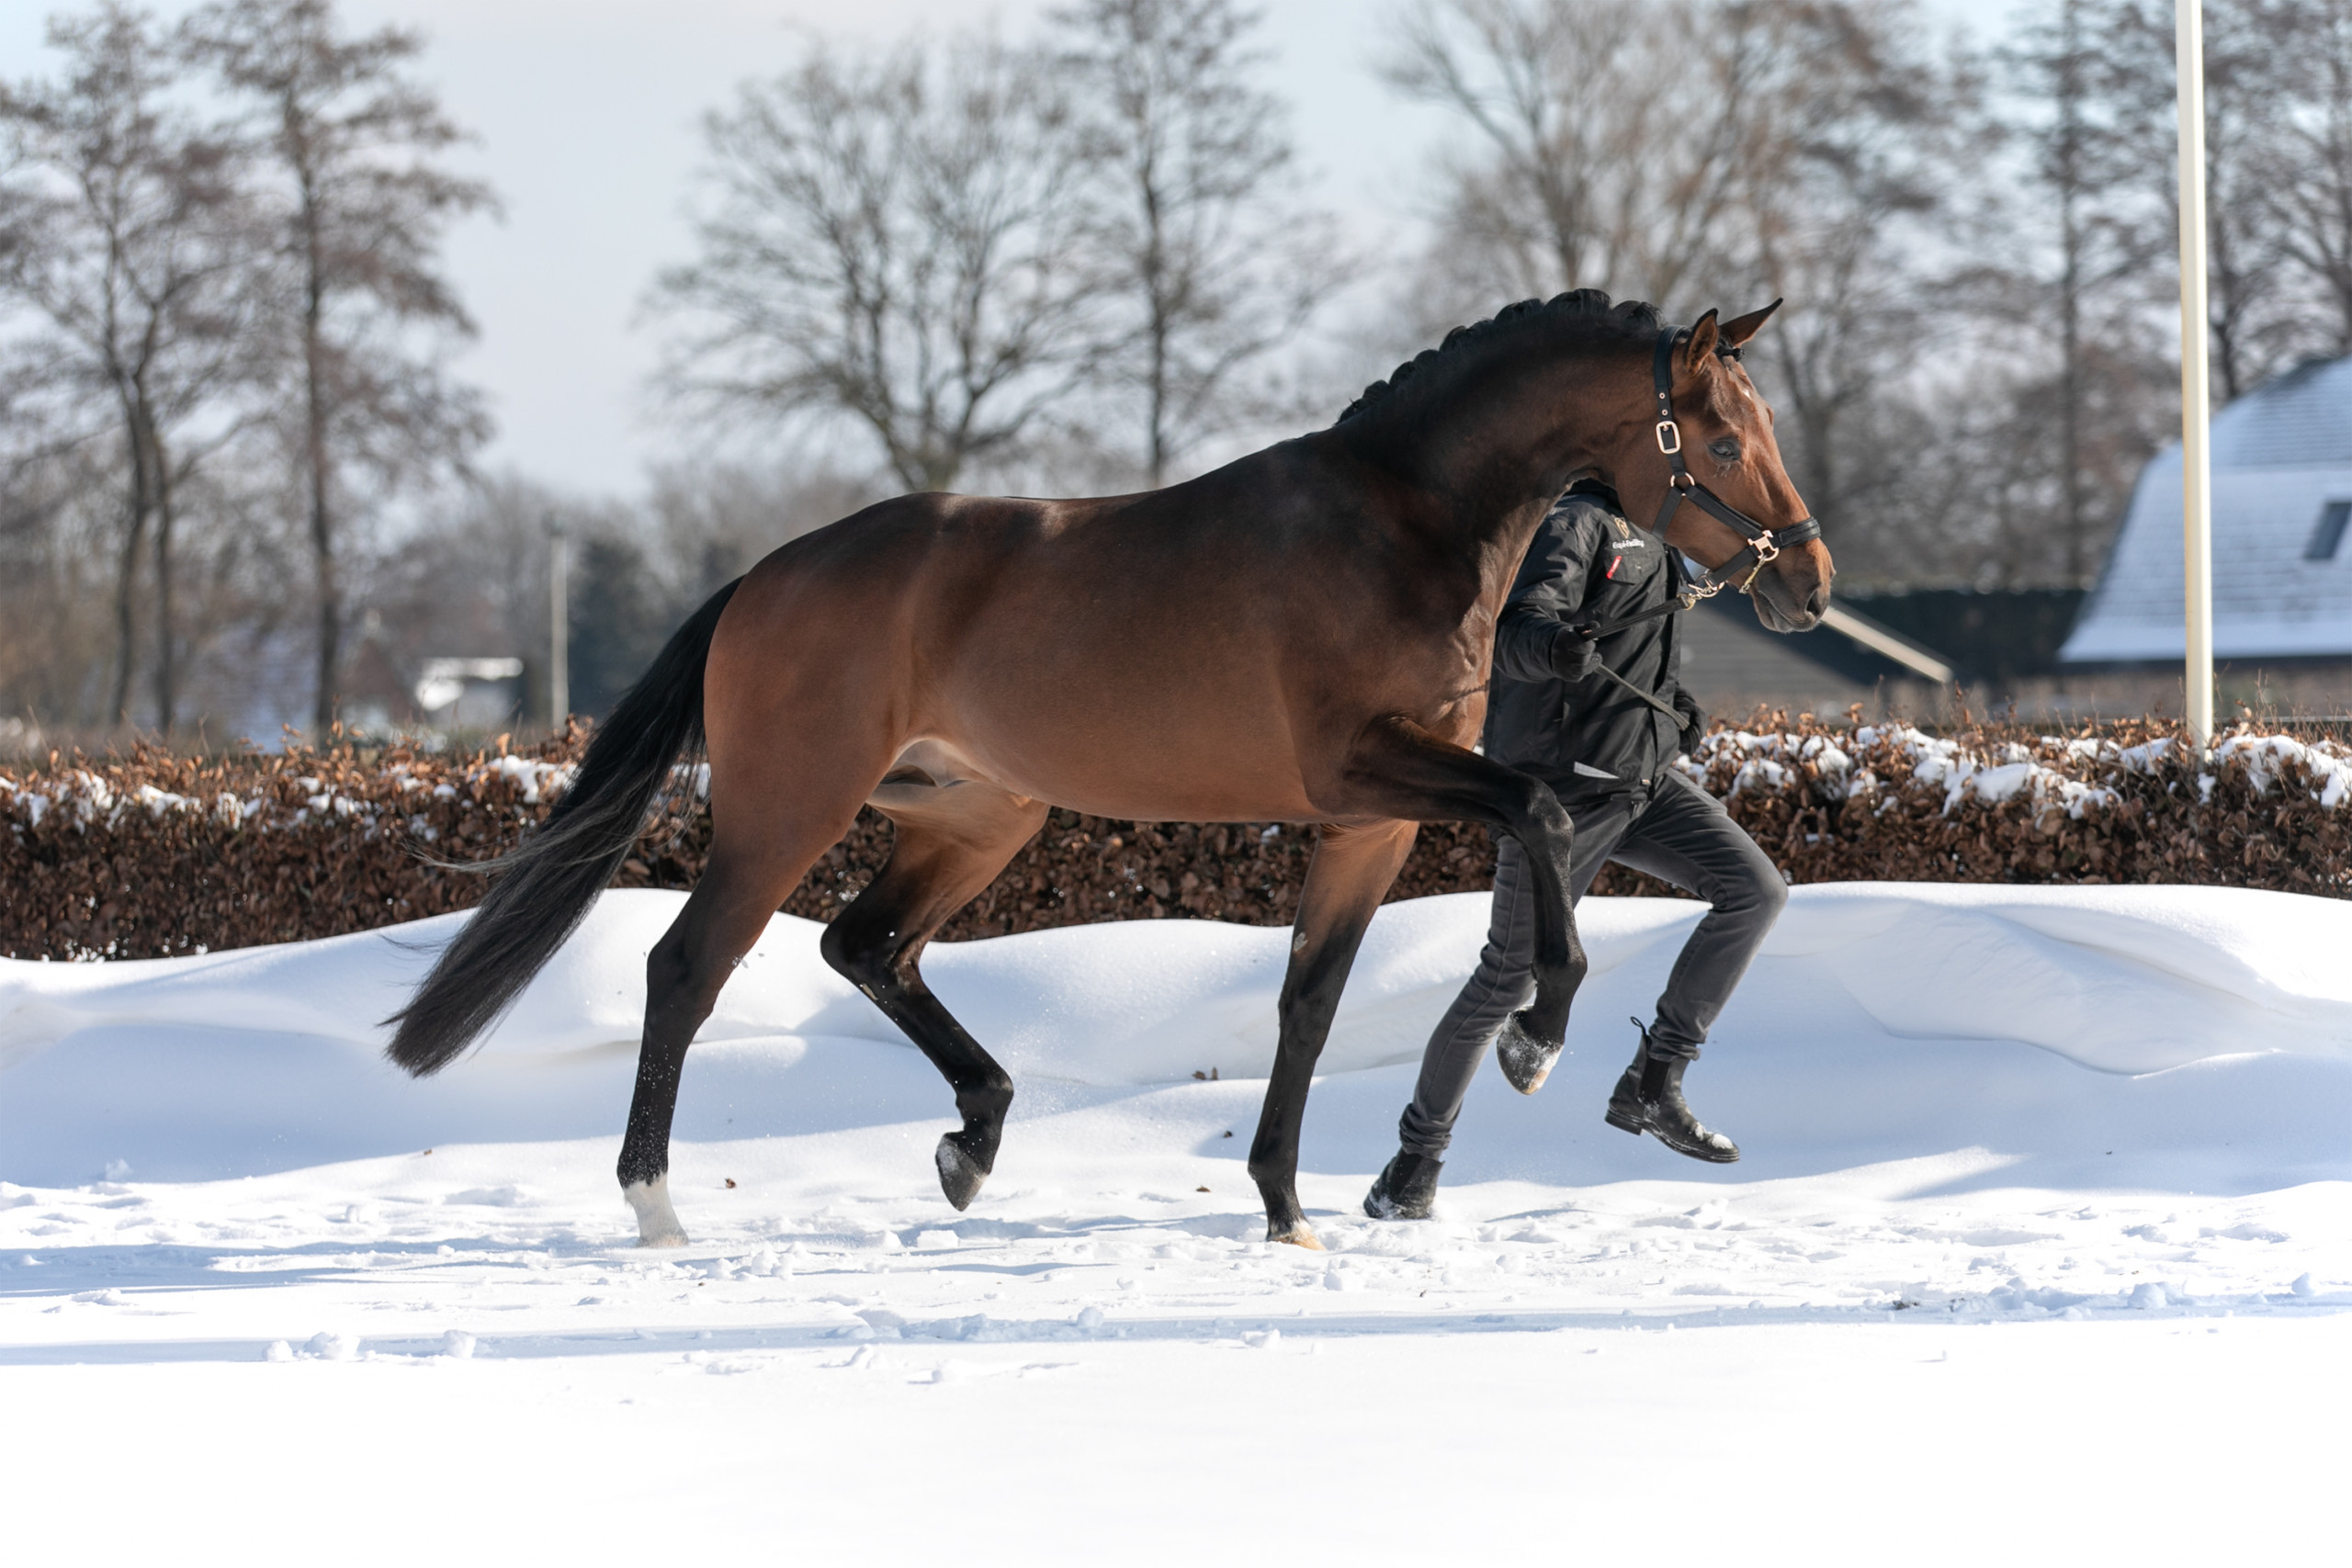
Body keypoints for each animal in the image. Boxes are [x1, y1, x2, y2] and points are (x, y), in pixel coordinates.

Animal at [386, 290, 1832, 1251]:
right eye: (1717, 441)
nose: (1809, 580)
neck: (1403, 524)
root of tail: (763, 578)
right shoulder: (1368, 770)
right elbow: (1535, 812)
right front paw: (1537, 1033)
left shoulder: (1367, 823)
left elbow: (1309, 1005)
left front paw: (1287, 1207)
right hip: (785, 809)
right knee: (688, 967)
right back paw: (659, 1209)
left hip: (981, 817)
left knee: (866, 947)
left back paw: (973, 1138)